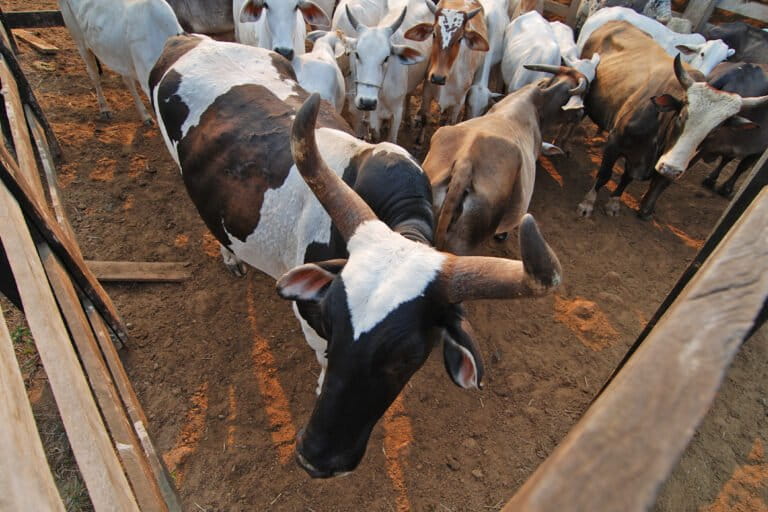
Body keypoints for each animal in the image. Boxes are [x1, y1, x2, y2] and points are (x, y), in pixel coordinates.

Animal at [148, 34, 564, 478]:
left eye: (408, 356)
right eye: (330, 322)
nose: (314, 458)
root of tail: (190, 38)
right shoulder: (310, 320)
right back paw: (231, 258)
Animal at [584, 22, 768, 219]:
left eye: (714, 131)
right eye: (681, 116)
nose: (671, 169)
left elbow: (627, 179)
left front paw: (613, 203)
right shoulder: (615, 143)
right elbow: (604, 175)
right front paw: (588, 204)